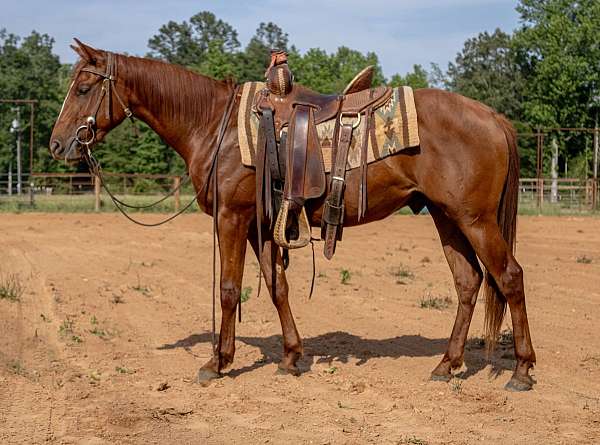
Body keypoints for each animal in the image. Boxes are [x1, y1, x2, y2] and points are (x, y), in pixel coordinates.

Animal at [49, 40, 536, 388]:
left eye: (84, 88)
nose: (57, 144)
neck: (212, 124)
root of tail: (493, 117)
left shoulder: (232, 218)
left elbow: (229, 290)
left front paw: (216, 362)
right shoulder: (261, 224)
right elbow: (276, 285)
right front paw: (290, 356)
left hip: (475, 219)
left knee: (510, 277)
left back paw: (521, 370)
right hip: (445, 216)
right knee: (468, 282)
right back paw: (446, 365)